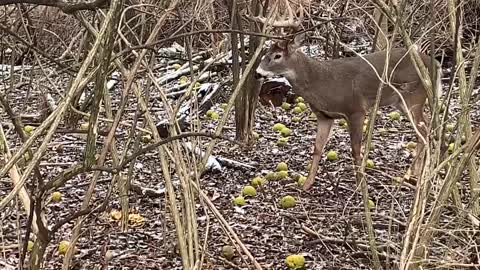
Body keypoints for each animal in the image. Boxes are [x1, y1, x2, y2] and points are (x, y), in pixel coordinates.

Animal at [255, 32, 442, 191]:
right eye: (266, 53)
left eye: (277, 56)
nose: (257, 73)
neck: (321, 82)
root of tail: (435, 64)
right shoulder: (324, 116)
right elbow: (317, 148)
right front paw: (307, 184)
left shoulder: (356, 109)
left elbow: (355, 148)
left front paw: (360, 185)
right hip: (402, 102)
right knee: (424, 127)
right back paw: (416, 173)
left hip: (414, 96)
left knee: (424, 130)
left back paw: (410, 175)